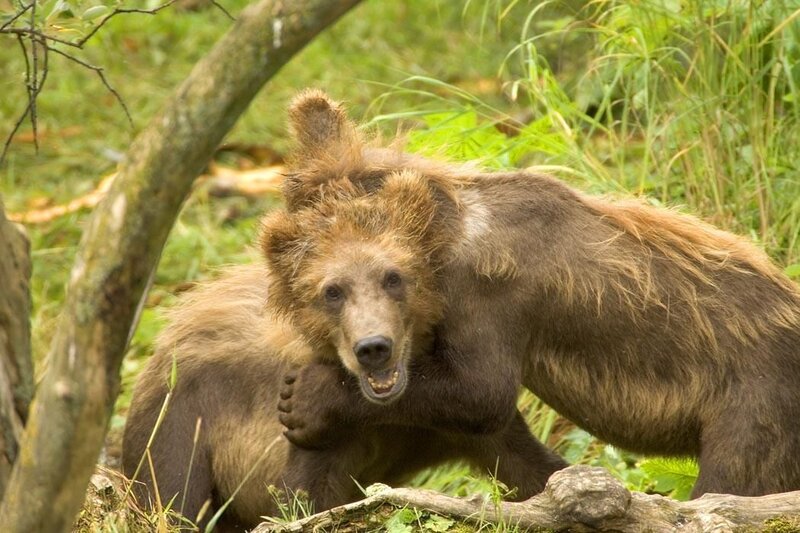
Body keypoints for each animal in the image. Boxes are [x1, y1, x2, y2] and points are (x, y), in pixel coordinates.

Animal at [122, 188, 566, 529]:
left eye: (393, 277)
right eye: (332, 291)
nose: (373, 347)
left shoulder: (451, 423)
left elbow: (532, 466)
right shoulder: (312, 434)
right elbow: (300, 501)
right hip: (182, 419)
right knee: (171, 499)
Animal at [271, 89, 800, 498]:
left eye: (392, 277)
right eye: (328, 290)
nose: (373, 349)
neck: (441, 245)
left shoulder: (487, 297)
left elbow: (481, 392)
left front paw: (305, 399)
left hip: (755, 399)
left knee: (733, 479)